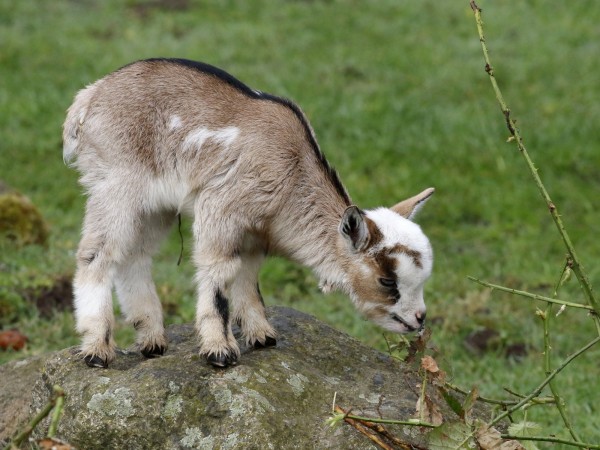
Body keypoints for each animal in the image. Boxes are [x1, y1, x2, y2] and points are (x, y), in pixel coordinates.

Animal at [63, 59, 434, 370]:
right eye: (387, 281)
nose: (419, 318)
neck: (292, 170)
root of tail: (89, 97)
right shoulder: (220, 210)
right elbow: (220, 272)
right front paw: (219, 350)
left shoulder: (254, 232)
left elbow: (248, 275)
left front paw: (261, 335)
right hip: (116, 185)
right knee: (96, 254)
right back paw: (97, 349)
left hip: (155, 207)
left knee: (135, 256)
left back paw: (152, 341)